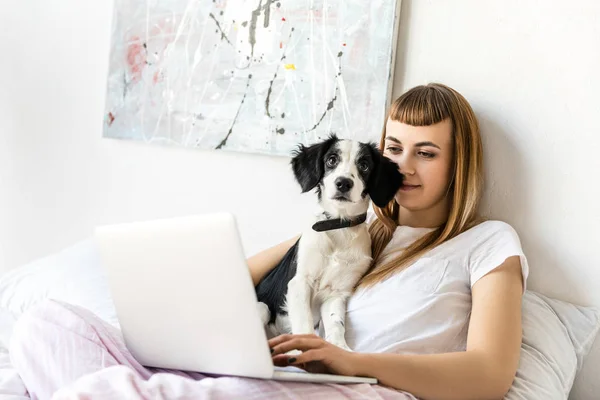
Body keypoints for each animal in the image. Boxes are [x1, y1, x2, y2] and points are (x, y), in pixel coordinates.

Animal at [254, 135, 404, 350]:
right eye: (332, 160)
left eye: (364, 165)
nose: (343, 183)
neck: (338, 227)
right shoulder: (300, 282)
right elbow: (304, 324)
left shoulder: (337, 293)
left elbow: (336, 324)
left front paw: (340, 348)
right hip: (262, 306)